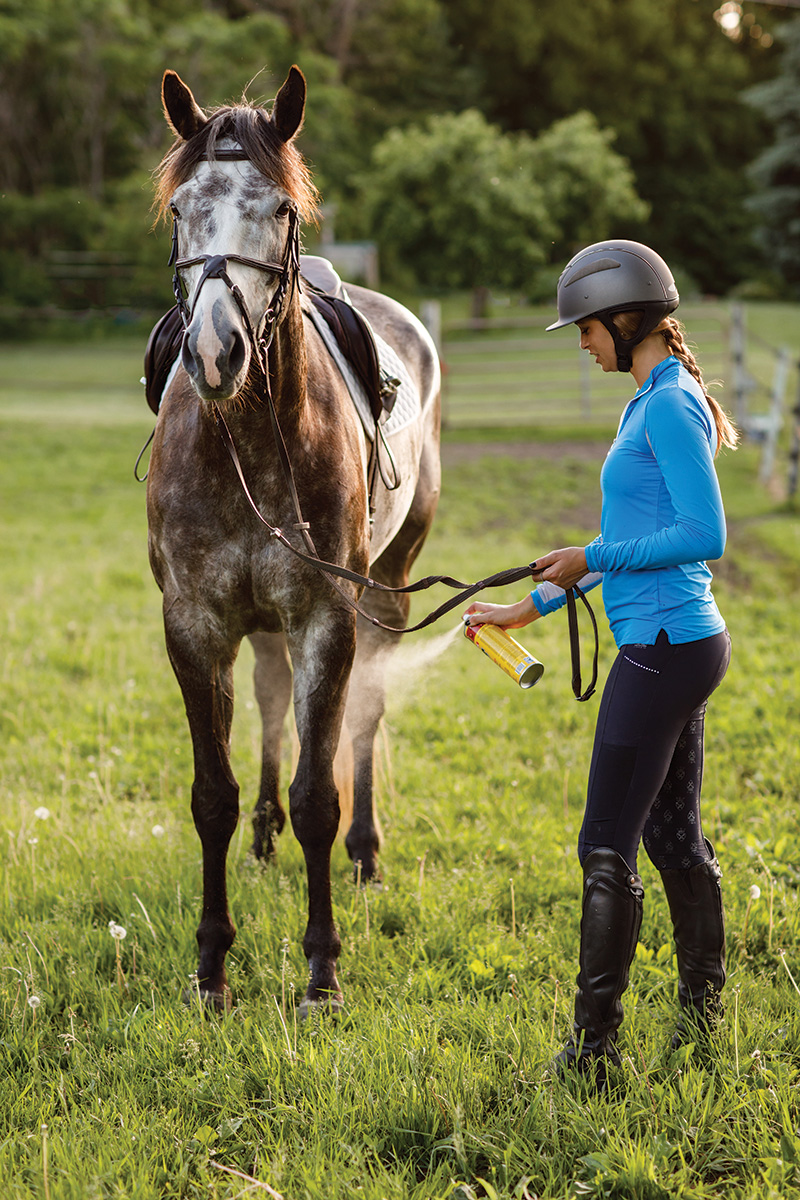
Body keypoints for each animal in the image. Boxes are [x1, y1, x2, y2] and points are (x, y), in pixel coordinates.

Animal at [146, 65, 441, 1012]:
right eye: (181, 209)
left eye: (279, 208)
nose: (216, 350)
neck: (243, 437)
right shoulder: (195, 624)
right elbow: (212, 795)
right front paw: (211, 966)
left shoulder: (326, 619)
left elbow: (321, 793)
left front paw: (321, 969)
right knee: (273, 704)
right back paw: (266, 836)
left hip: (388, 589)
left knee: (364, 716)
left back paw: (366, 853)